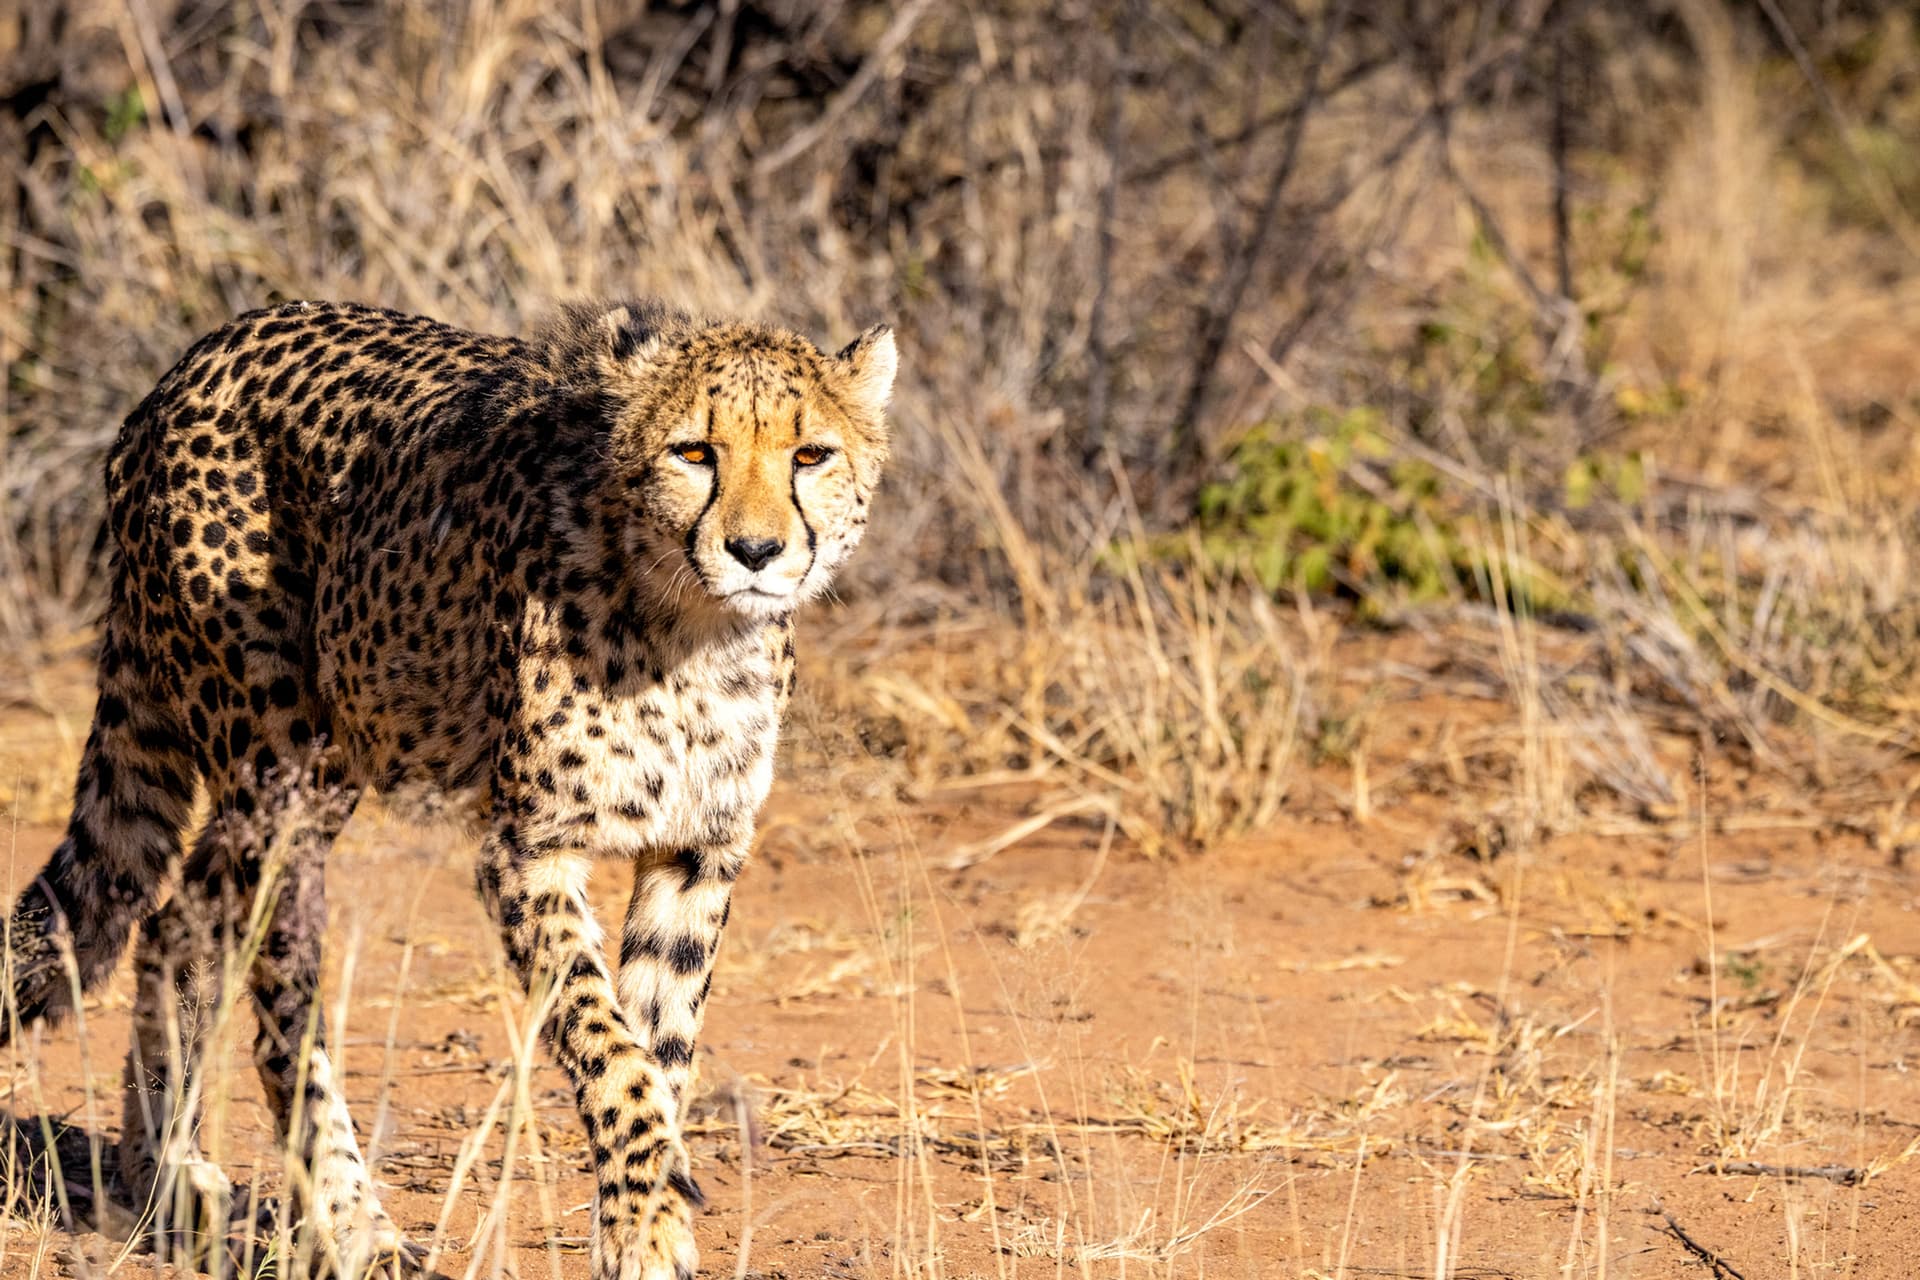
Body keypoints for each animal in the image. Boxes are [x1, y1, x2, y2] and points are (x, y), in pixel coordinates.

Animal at [0, 297, 896, 1280]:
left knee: (174, 923)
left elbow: (662, 1045)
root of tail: (189, 364)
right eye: (694, 452)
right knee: (279, 1006)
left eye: (810, 455)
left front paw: (644, 1220)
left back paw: (165, 1177)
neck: (693, 629)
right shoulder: (528, 849)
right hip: (282, 771)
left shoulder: (696, 852)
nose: (756, 550)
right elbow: (609, 1046)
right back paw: (353, 1226)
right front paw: (648, 1212)